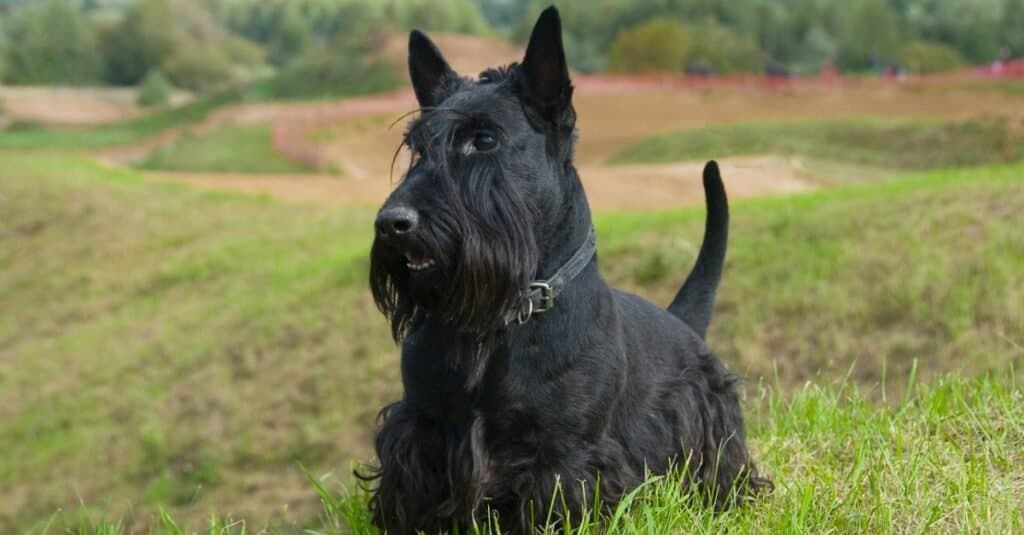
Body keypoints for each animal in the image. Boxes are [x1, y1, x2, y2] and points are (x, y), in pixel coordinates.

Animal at [360, 6, 770, 528]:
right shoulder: (420, 430)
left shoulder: (565, 456)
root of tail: (681, 323)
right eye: (416, 147)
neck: (505, 318)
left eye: (484, 139)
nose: (393, 223)